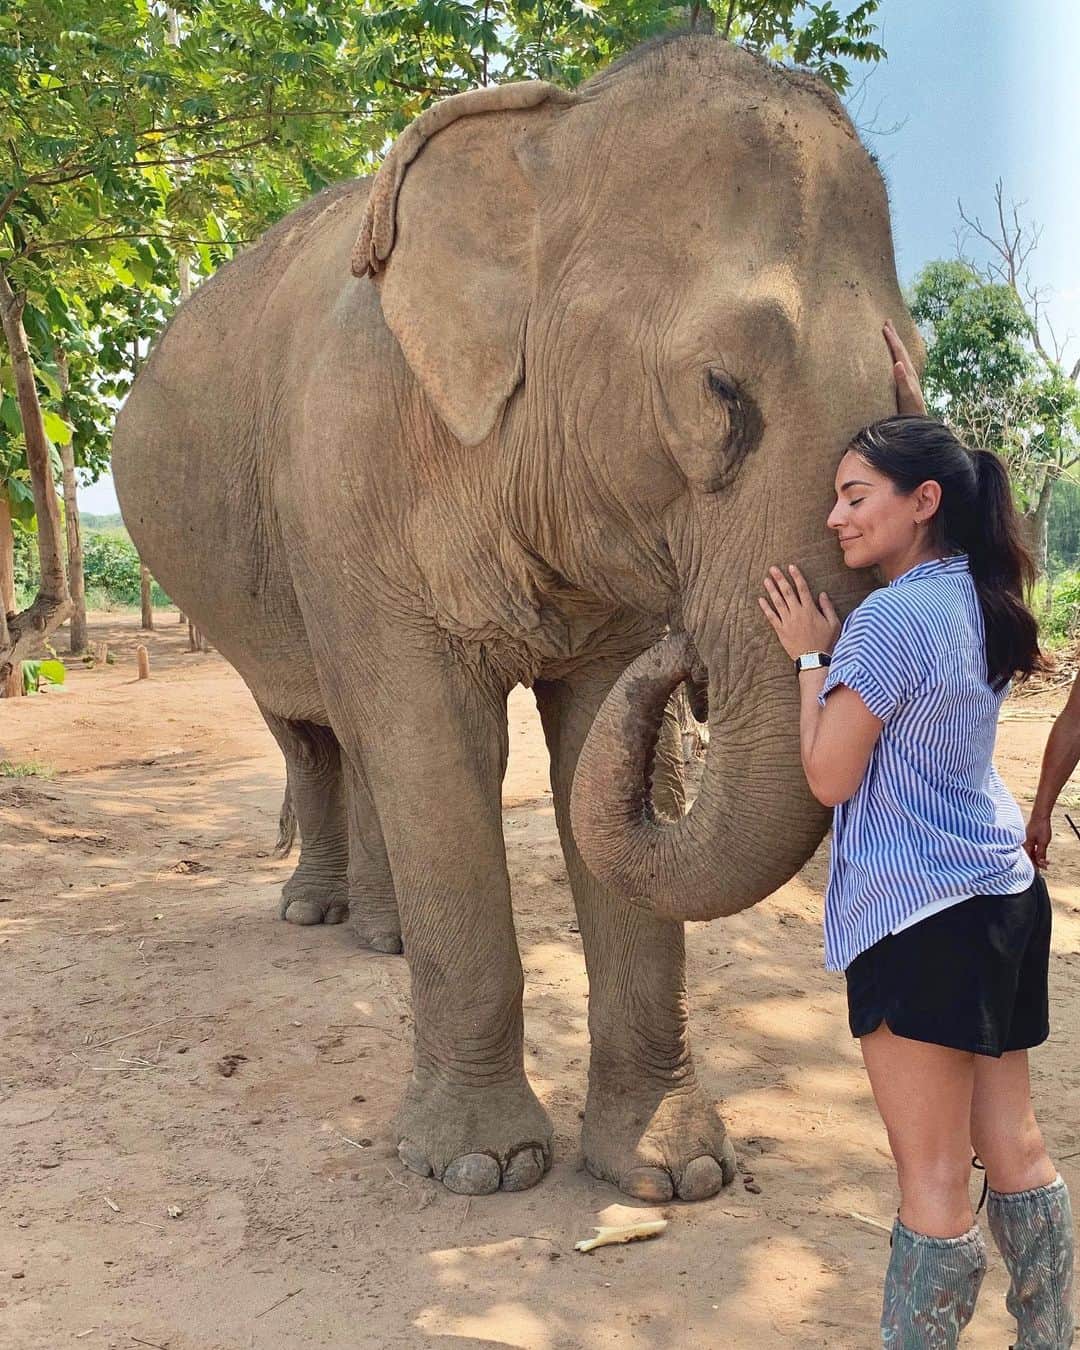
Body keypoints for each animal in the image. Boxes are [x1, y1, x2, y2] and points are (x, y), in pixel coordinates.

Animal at [113, 33, 921, 1202]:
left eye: (909, 382)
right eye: (721, 391)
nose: (689, 649)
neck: (553, 134)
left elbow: (596, 750)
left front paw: (672, 1173)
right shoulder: (349, 473)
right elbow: (438, 746)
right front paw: (481, 1169)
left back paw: (384, 941)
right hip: (245, 583)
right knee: (313, 725)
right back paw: (318, 917)